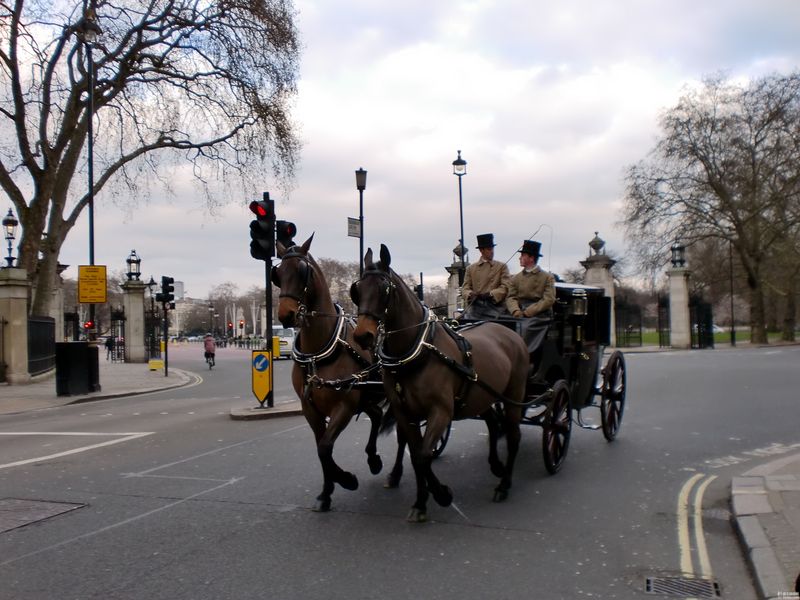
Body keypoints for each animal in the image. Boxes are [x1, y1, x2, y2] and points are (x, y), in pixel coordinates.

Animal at [270, 234, 404, 510]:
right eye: (278, 273)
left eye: (302, 271)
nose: (286, 314)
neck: (318, 351)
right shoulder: (310, 408)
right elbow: (322, 449)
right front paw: (326, 492)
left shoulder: (344, 405)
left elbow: (325, 447)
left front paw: (346, 479)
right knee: (376, 415)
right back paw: (373, 459)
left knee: (403, 434)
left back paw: (394, 473)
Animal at [354, 244, 532, 520]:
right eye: (358, 289)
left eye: (384, 290)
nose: (363, 335)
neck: (419, 350)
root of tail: (509, 331)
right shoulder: (405, 413)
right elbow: (416, 455)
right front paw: (421, 501)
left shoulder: (440, 411)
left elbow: (423, 455)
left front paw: (441, 494)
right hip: (481, 396)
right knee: (493, 424)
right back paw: (496, 466)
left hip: (514, 395)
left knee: (513, 436)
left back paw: (504, 485)